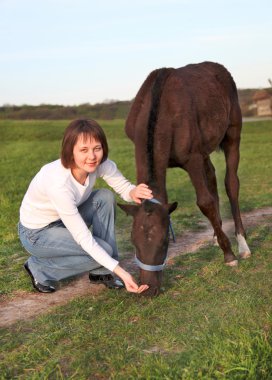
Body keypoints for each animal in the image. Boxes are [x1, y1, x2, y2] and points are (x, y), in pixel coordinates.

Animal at [119, 61, 251, 296]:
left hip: (232, 134)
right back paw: (217, 236)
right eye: (133, 241)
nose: (148, 289)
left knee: (231, 183)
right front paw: (221, 241)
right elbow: (209, 195)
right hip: (206, 149)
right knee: (212, 178)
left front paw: (229, 256)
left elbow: (205, 202)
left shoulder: (193, 158)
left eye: (165, 242)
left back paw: (242, 245)